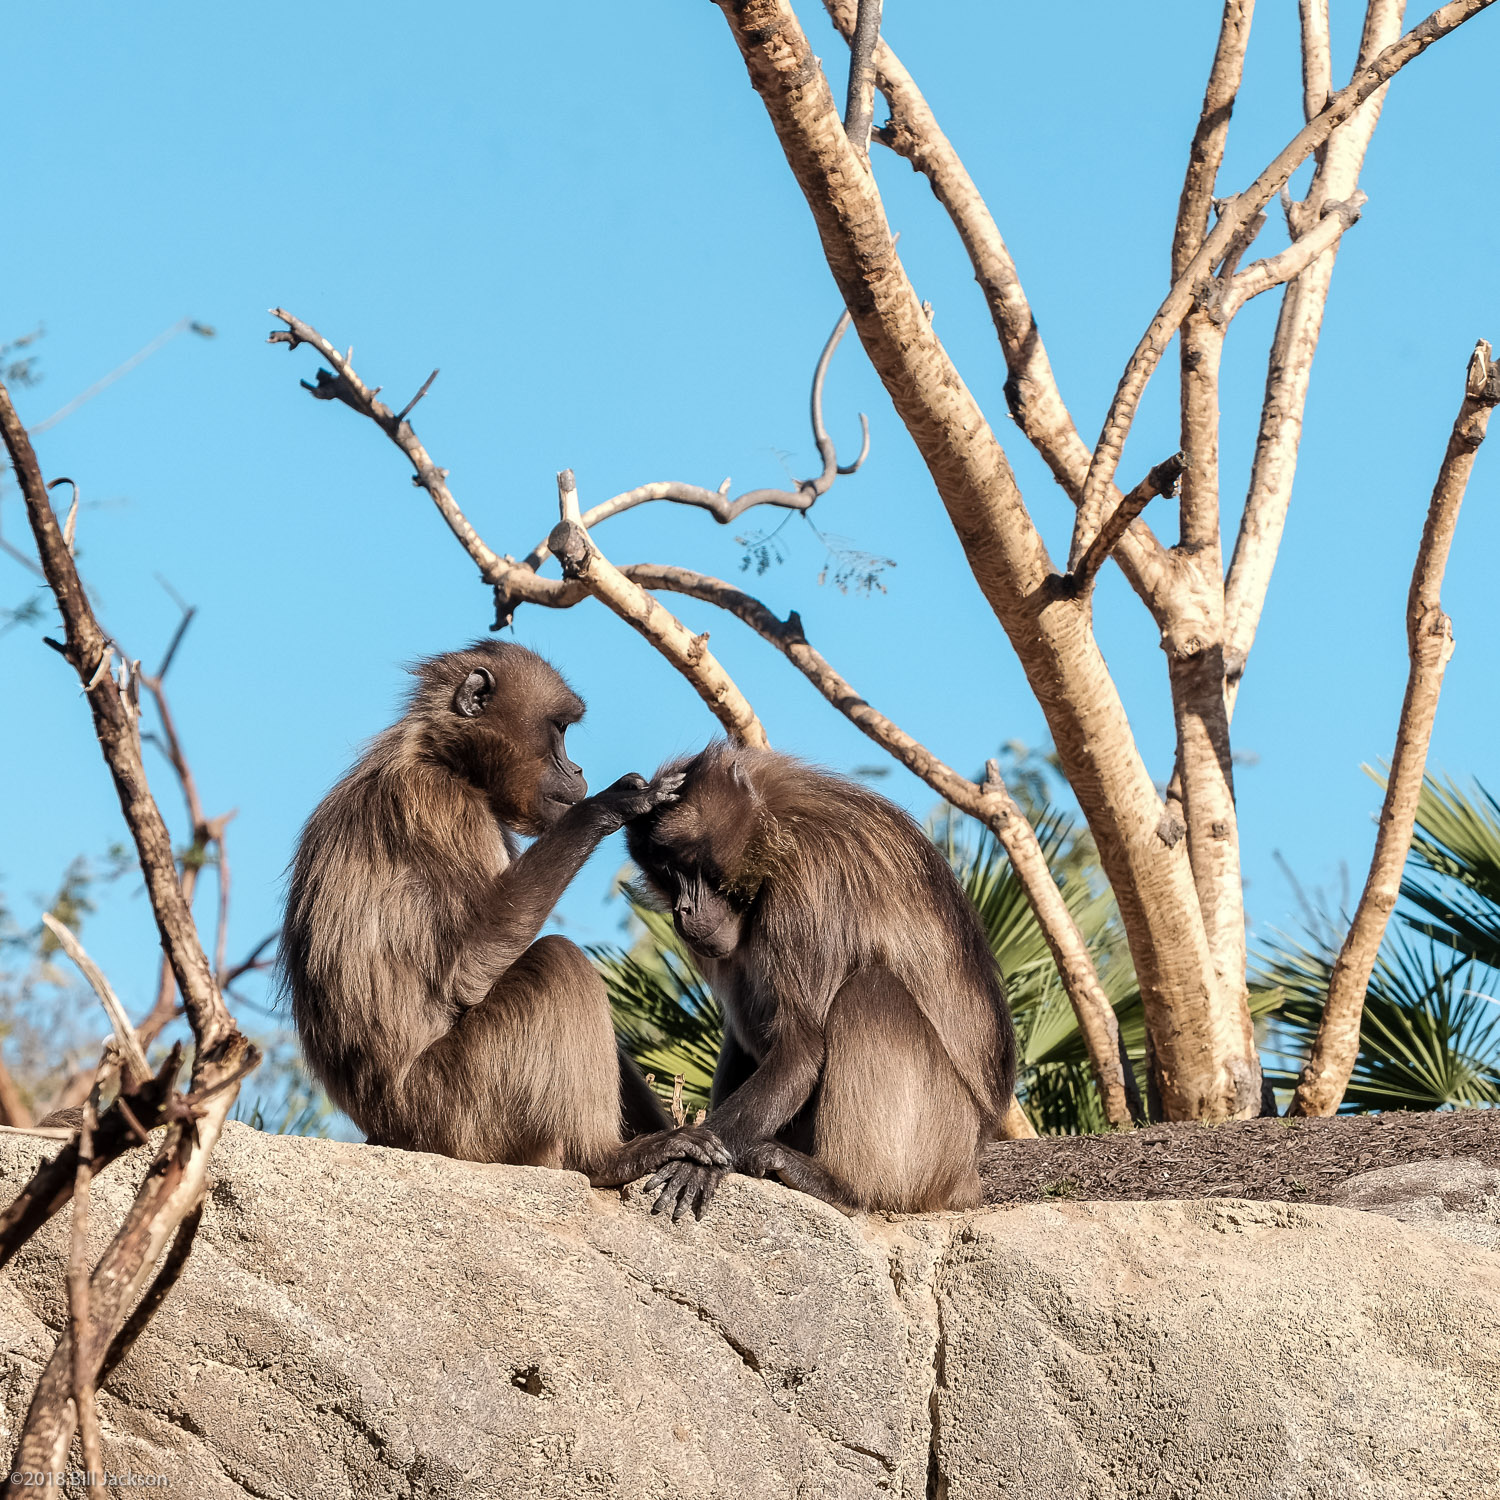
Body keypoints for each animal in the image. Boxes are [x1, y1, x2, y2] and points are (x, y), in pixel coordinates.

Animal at [282, 645, 732, 1194]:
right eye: (559, 729)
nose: (577, 769)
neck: (442, 758)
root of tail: (387, 1129)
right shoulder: (443, 809)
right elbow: (467, 972)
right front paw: (611, 804)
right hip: (455, 1108)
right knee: (557, 962)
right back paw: (607, 1159)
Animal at [621, 738, 1020, 1218]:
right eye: (665, 873)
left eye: (688, 864)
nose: (684, 911)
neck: (774, 828)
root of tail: (968, 1172)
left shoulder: (807, 884)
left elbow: (802, 1046)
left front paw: (694, 1156)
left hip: (942, 1143)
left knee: (869, 990)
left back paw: (842, 1186)